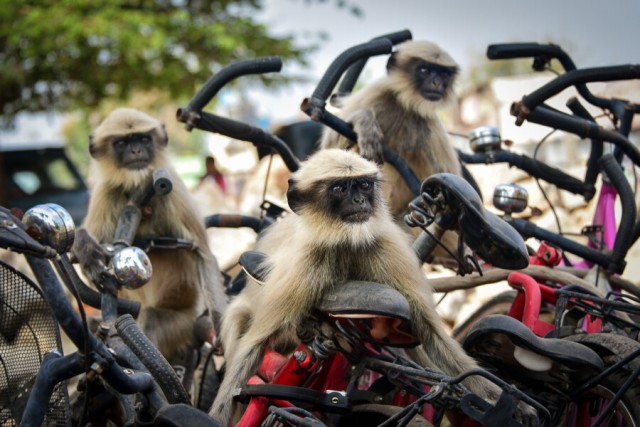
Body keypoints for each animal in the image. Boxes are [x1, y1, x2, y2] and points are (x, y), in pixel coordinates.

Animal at [72, 107, 227, 363]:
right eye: (122, 142)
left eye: (143, 139)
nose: (136, 150)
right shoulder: (106, 192)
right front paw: (84, 247)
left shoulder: (174, 190)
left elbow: (202, 254)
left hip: (183, 325)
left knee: (151, 319)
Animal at [209, 149, 536, 425]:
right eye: (341, 189)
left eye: (364, 185)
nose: (360, 202)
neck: (344, 241)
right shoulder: (306, 263)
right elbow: (254, 346)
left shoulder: (385, 249)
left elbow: (432, 334)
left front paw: (507, 402)